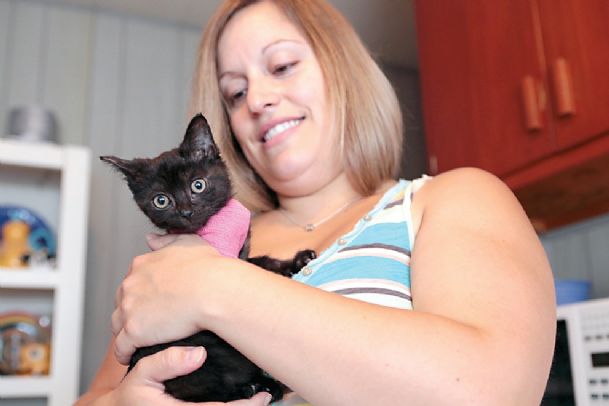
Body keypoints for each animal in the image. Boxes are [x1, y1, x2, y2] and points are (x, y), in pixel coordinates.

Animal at [100, 112, 316, 402]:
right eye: (161, 200)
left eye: (198, 185)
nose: (186, 211)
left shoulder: (240, 257)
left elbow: (261, 264)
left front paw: (297, 261)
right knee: (202, 390)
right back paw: (257, 388)